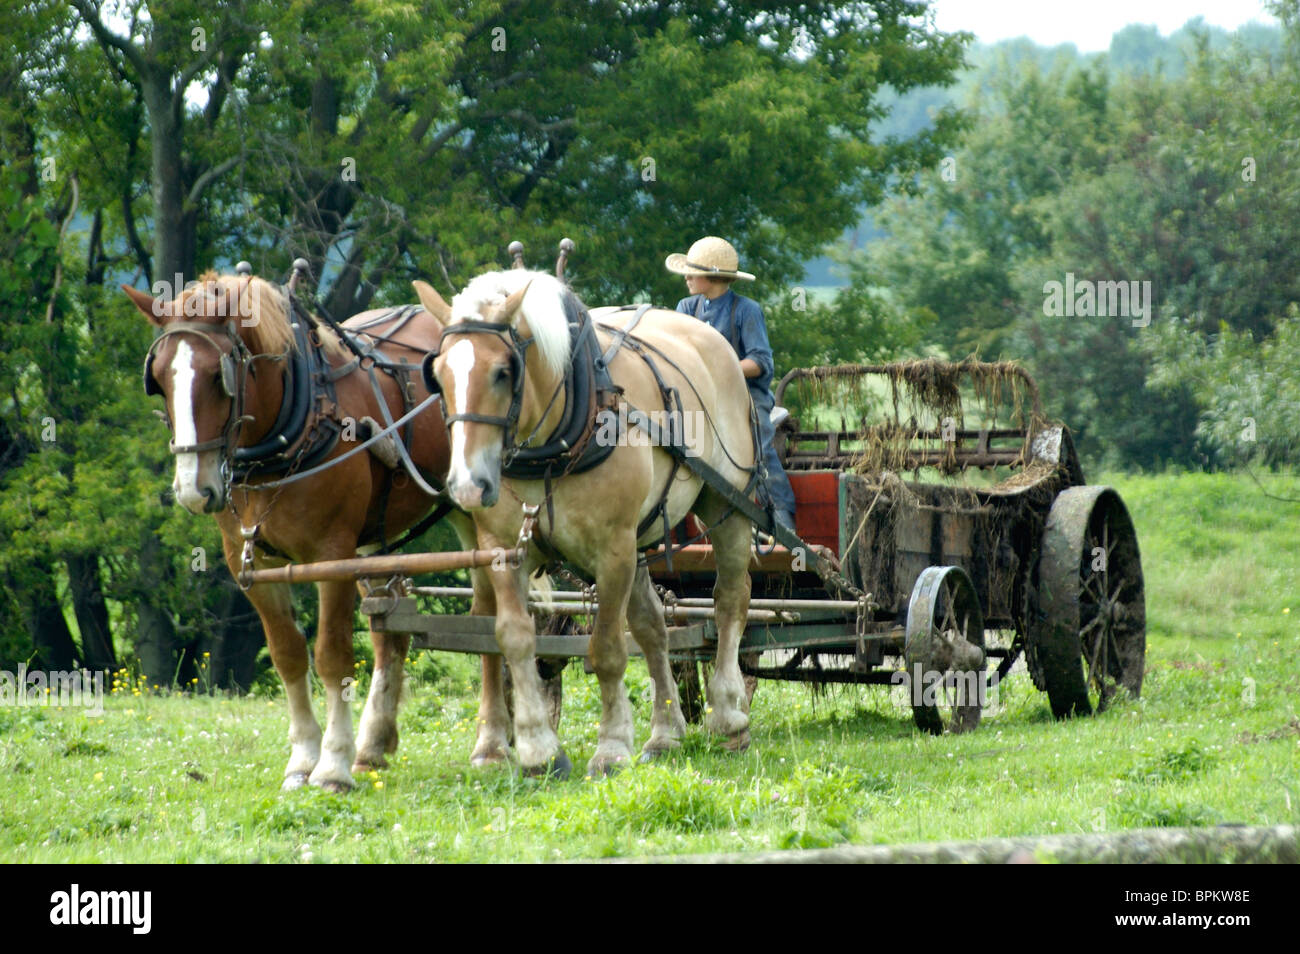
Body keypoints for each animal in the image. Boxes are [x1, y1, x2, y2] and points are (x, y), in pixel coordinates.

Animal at [125, 274, 467, 790]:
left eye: (218, 377)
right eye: (159, 379)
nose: (193, 490)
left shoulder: (332, 555)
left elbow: (331, 655)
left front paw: (332, 765)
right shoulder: (248, 561)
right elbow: (288, 654)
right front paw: (303, 758)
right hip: (374, 539)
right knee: (391, 637)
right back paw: (373, 746)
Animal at [416, 267, 759, 779]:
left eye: (503, 372)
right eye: (437, 376)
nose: (467, 485)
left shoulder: (612, 548)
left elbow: (607, 650)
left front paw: (612, 746)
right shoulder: (502, 547)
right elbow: (513, 637)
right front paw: (538, 748)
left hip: (726, 506)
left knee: (730, 600)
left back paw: (730, 715)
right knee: (652, 627)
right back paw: (665, 733)